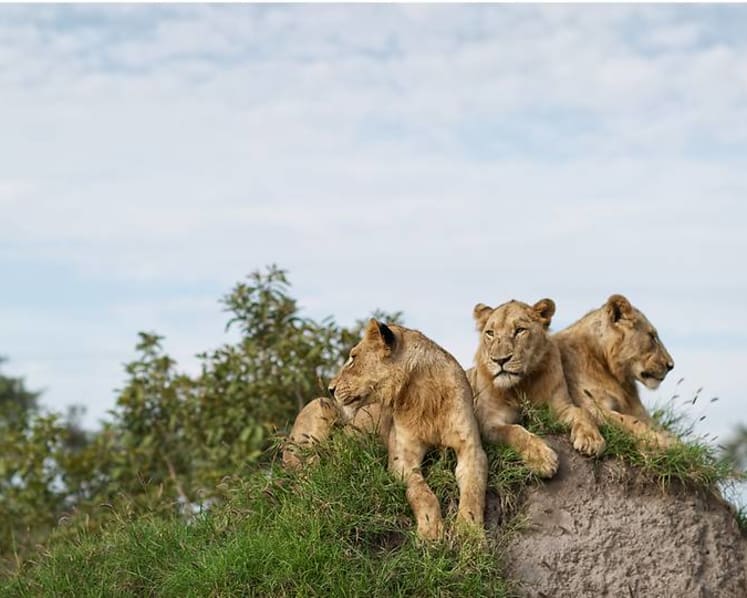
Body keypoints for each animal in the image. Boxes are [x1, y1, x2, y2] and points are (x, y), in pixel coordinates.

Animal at [285, 319, 487, 541]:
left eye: (353, 358)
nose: (330, 389)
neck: (423, 396)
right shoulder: (402, 457)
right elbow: (421, 493)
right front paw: (430, 531)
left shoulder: (471, 449)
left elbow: (473, 490)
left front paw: (470, 532)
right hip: (319, 407)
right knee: (305, 478)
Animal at [468, 298, 606, 477]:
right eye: (490, 333)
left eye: (520, 330)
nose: (500, 360)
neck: (521, 385)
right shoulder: (488, 422)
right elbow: (515, 431)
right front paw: (542, 459)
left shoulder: (560, 407)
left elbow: (582, 412)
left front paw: (591, 440)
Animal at [553, 294, 675, 447]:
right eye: (652, 336)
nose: (671, 365)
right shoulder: (591, 405)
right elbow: (629, 420)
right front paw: (660, 441)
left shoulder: (639, 412)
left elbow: (665, 431)